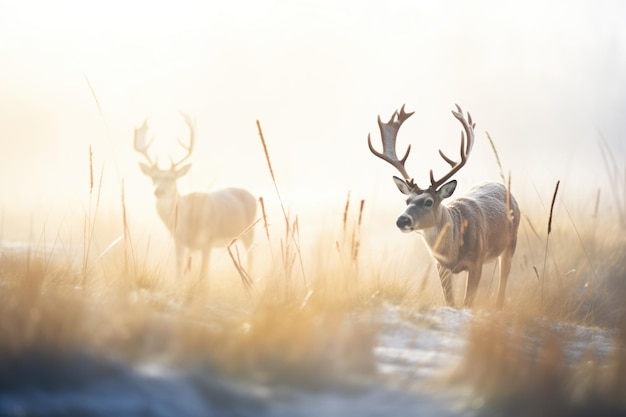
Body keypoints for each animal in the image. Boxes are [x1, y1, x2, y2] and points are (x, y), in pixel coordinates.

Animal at [134, 112, 256, 278]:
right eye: (153, 177)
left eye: (172, 178)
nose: (158, 191)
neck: (187, 222)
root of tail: (252, 196)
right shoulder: (179, 242)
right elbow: (179, 271)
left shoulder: (207, 240)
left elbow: (203, 275)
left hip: (249, 232)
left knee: (251, 257)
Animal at [368, 104, 520, 306]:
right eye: (407, 200)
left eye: (428, 201)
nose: (402, 220)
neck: (453, 250)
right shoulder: (440, 266)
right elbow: (450, 302)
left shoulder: (477, 261)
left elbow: (467, 303)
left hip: (511, 243)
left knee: (503, 283)